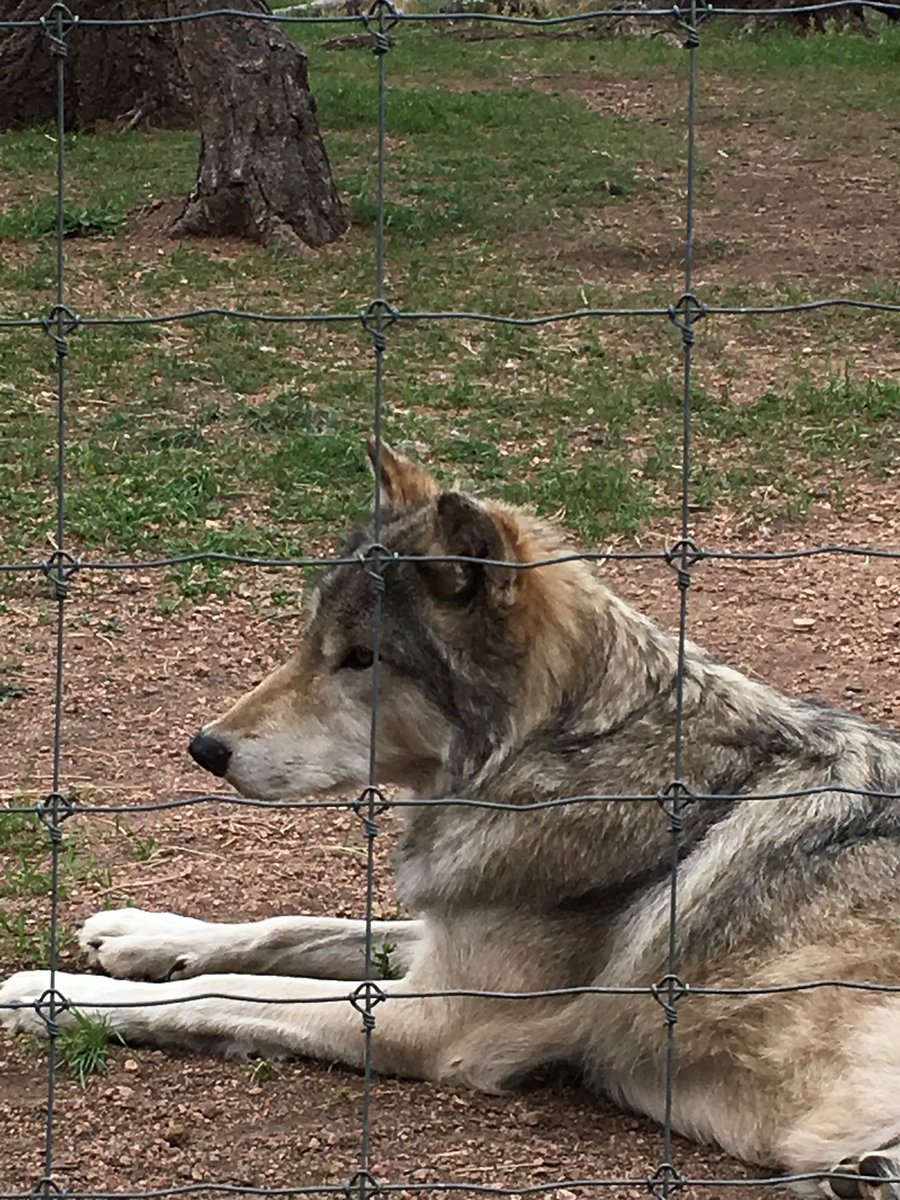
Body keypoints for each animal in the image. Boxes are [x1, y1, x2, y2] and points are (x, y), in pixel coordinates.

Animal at [2, 441, 900, 1197]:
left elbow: (228, 990)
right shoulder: (445, 928)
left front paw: (51, 992)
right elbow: (287, 927)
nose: (204, 748)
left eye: (361, 659)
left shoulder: (432, 1017)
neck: (560, 756)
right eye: (309, 642)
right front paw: (139, 936)